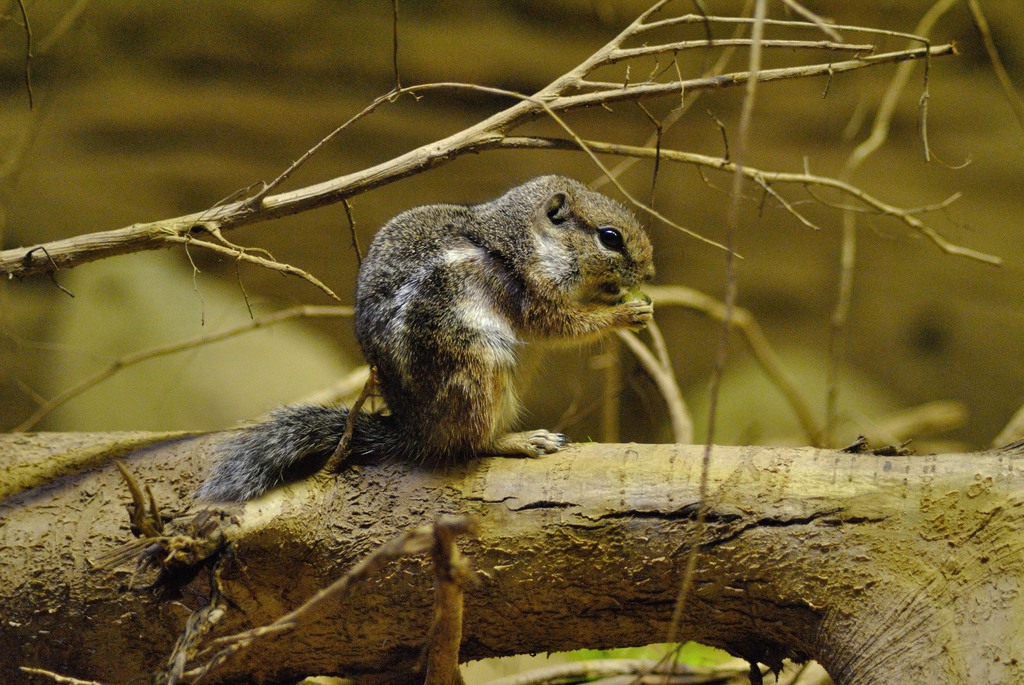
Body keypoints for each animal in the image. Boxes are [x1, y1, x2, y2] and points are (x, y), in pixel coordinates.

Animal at [196, 175, 655, 501]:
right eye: (610, 237)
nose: (650, 274)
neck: (530, 239)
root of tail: (415, 431)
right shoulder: (534, 293)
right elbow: (565, 326)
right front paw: (628, 311)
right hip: (480, 368)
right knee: (473, 444)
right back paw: (523, 440)